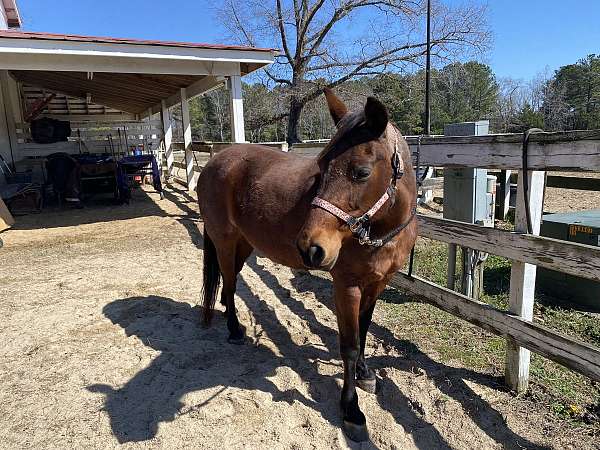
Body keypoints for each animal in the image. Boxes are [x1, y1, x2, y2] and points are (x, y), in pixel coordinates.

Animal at [197, 89, 418, 442]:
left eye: (361, 172)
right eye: (321, 167)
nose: (310, 247)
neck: (380, 232)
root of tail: (216, 162)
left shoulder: (377, 284)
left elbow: (365, 329)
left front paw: (365, 373)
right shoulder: (347, 286)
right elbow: (349, 344)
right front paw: (351, 410)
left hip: (244, 244)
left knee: (228, 287)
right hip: (225, 242)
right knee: (228, 285)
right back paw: (234, 330)